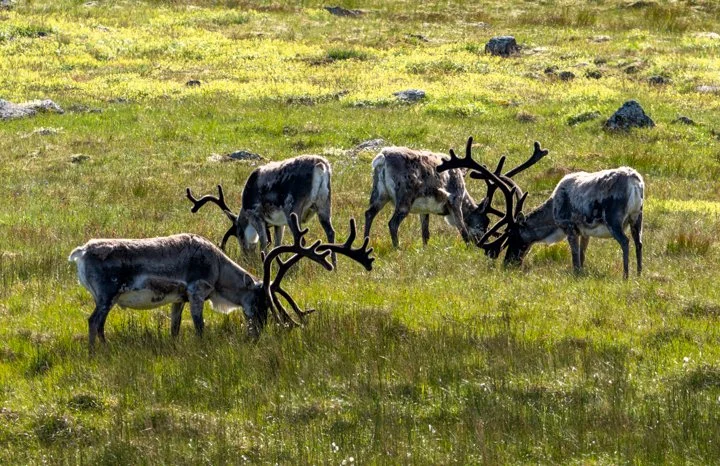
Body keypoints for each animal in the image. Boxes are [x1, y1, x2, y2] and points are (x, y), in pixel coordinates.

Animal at [68, 214, 374, 351]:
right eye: (261, 301)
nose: (257, 332)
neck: (217, 269)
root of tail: (81, 252)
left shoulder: (178, 299)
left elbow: (175, 328)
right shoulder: (197, 291)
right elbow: (200, 326)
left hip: (107, 298)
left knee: (99, 324)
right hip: (106, 295)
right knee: (93, 321)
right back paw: (97, 353)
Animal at [186, 155, 337, 264]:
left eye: (239, 233)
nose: (246, 257)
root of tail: (320, 166)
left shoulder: (256, 215)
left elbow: (263, 243)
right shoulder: (278, 224)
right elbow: (277, 244)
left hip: (293, 210)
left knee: (301, 240)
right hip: (324, 204)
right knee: (330, 232)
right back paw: (334, 267)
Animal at [364, 138, 548, 247]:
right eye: (483, 222)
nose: (481, 241)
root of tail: (382, 158)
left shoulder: (424, 210)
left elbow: (425, 233)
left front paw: (425, 249)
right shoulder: (455, 200)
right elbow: (463, 230)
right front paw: (468, 248)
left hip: (379, 194)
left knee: (369, 213)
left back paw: (365, 242)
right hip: (404, 199)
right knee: (392, 223)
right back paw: (397, 248)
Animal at [441, 137, 644, 279]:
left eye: (513, 236)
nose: (508, 263)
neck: (552, 211)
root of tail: (635, 182)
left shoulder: (569, 226)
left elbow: (575, 258)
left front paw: (577, 275)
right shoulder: (585, 231)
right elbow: (583, 254)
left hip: (614, 218)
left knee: (625, 241)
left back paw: (626, 276)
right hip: (637, 217)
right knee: (639, 242)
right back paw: (639, 274)